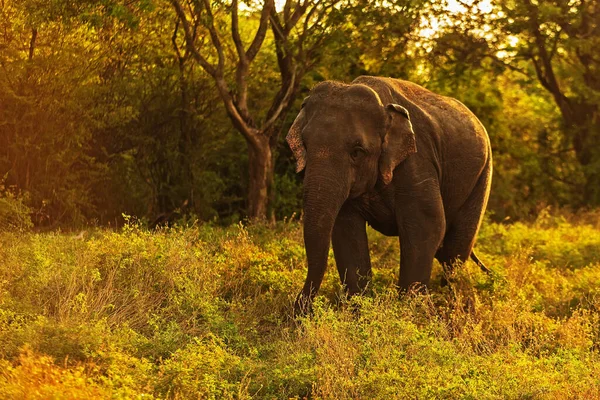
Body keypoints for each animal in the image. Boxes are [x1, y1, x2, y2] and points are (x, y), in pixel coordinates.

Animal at [286, 76, 492, 312]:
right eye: (305, 145)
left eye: (357, 151)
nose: (301, 307)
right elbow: (346, 229)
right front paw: (361, 311)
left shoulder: (417, 161)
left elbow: (426, 225)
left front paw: (411, 313)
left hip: (482, 176)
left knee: (454, 252)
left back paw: (462, 309)